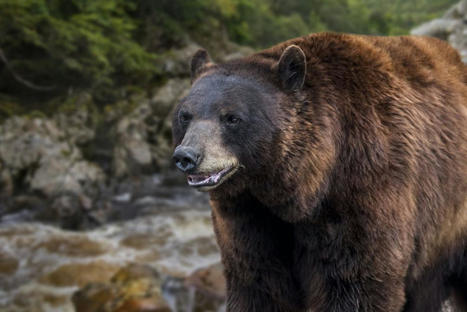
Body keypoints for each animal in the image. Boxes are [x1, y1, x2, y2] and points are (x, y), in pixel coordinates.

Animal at [172, 32, 467, 312]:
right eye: (185, 115)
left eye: (232, 117)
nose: (187, 156)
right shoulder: (249, 218)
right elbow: (258, 283)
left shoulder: (365, 185)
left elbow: (358, 282)